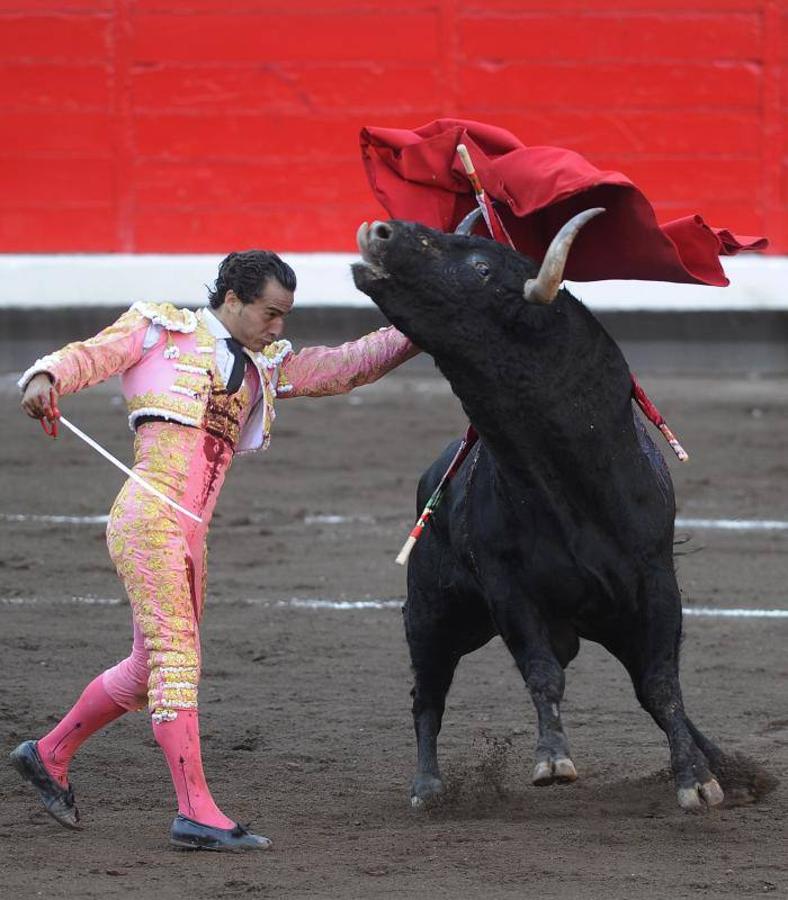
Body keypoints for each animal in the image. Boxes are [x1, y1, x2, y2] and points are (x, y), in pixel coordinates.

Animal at [352, 214, 732, 812]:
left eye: (481, 266)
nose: (380, 231)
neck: (568, 483)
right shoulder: (511, 591)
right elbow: (542, 672)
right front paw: (553, 760)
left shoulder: (655, 584)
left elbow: (662, 685)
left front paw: (698, 778)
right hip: (434, 613)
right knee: (427, 693)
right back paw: (427, 787)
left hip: (603, 619)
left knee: (646, 686)